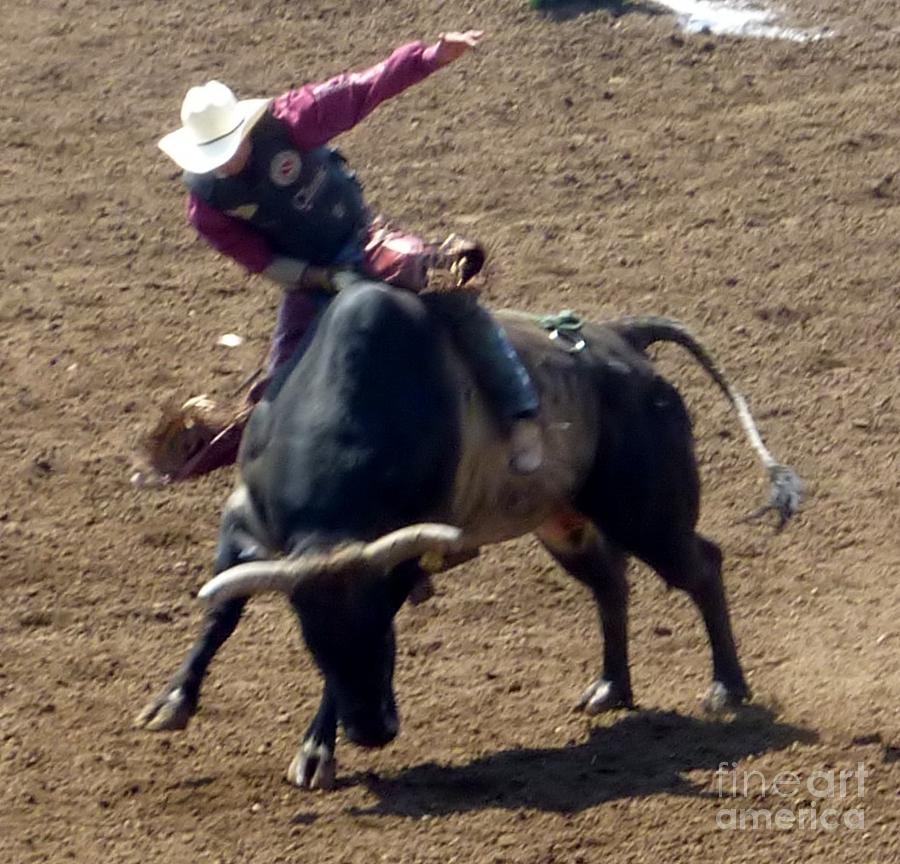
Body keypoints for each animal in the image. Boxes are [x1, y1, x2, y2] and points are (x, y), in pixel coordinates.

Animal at [135, 276, 800, 788]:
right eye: (311, 643)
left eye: (385, 638)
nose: (372, 732)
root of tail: (621, 339)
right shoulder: (246, 523)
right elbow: (223, 611)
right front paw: (172, 701)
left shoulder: (397, 562)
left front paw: (316, 751)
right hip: (564, 522)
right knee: (611, 583)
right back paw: (611, 686)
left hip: (648, 511)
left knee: (702, 567)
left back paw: (726, 687)